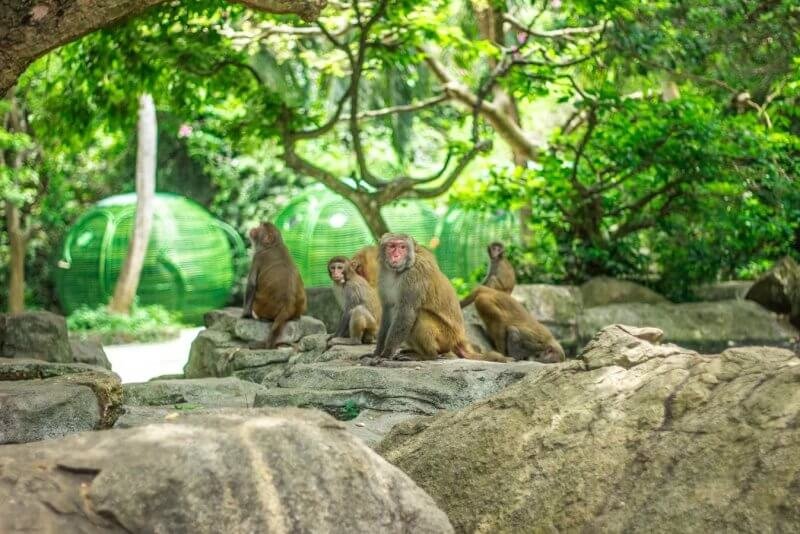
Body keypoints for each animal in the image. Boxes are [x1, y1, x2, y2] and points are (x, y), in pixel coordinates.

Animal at [366, 233, 509, 364]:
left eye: (402, 247)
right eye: (392, 246)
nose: (396, 256)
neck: (398, 272)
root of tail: (459, 339)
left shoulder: (414, 276)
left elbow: (406, 312)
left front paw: (385, 354)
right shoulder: (384, 275)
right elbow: (388, 310)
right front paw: (377, 352)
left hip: (446, 336)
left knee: (420, 315)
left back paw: (427, 356)